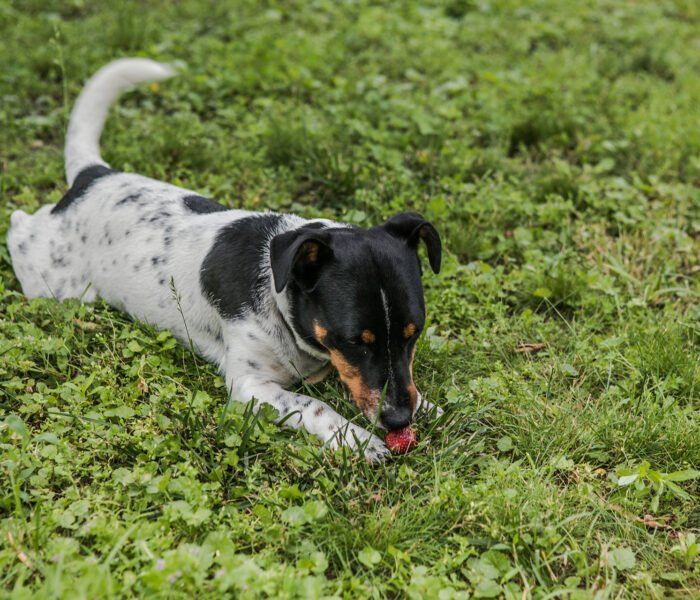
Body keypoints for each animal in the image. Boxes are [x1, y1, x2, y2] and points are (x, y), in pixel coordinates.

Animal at [6, 58, 442, 462]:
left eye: (414, 333)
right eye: (354, 341)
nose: (399, 420)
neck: (279, 296)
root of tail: (94, 176)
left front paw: (428, 407)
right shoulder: (251, 386)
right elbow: (314, 405)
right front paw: (358, 439)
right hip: (56, 281)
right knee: (18, 224)